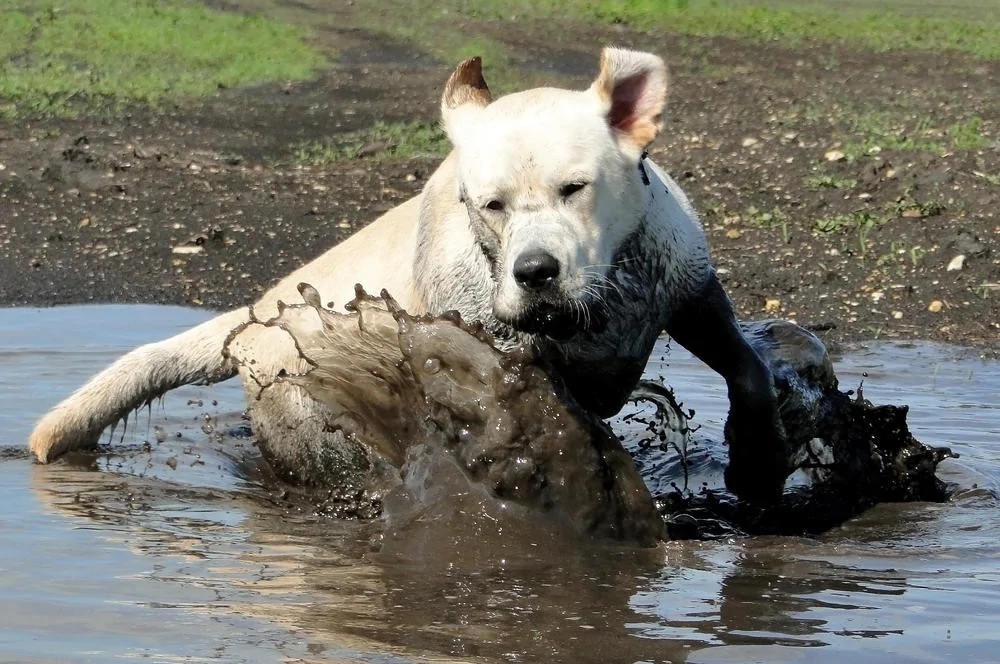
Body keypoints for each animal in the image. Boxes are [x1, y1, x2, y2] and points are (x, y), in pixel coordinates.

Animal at [27, 46, 784, 504]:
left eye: (575, 188)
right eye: (491, 204)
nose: (535, 271)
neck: (594, 312)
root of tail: (257, 311)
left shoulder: (689, 290)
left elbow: (749, 368)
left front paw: (760, 457)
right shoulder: (507, 363)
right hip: (300, 416)